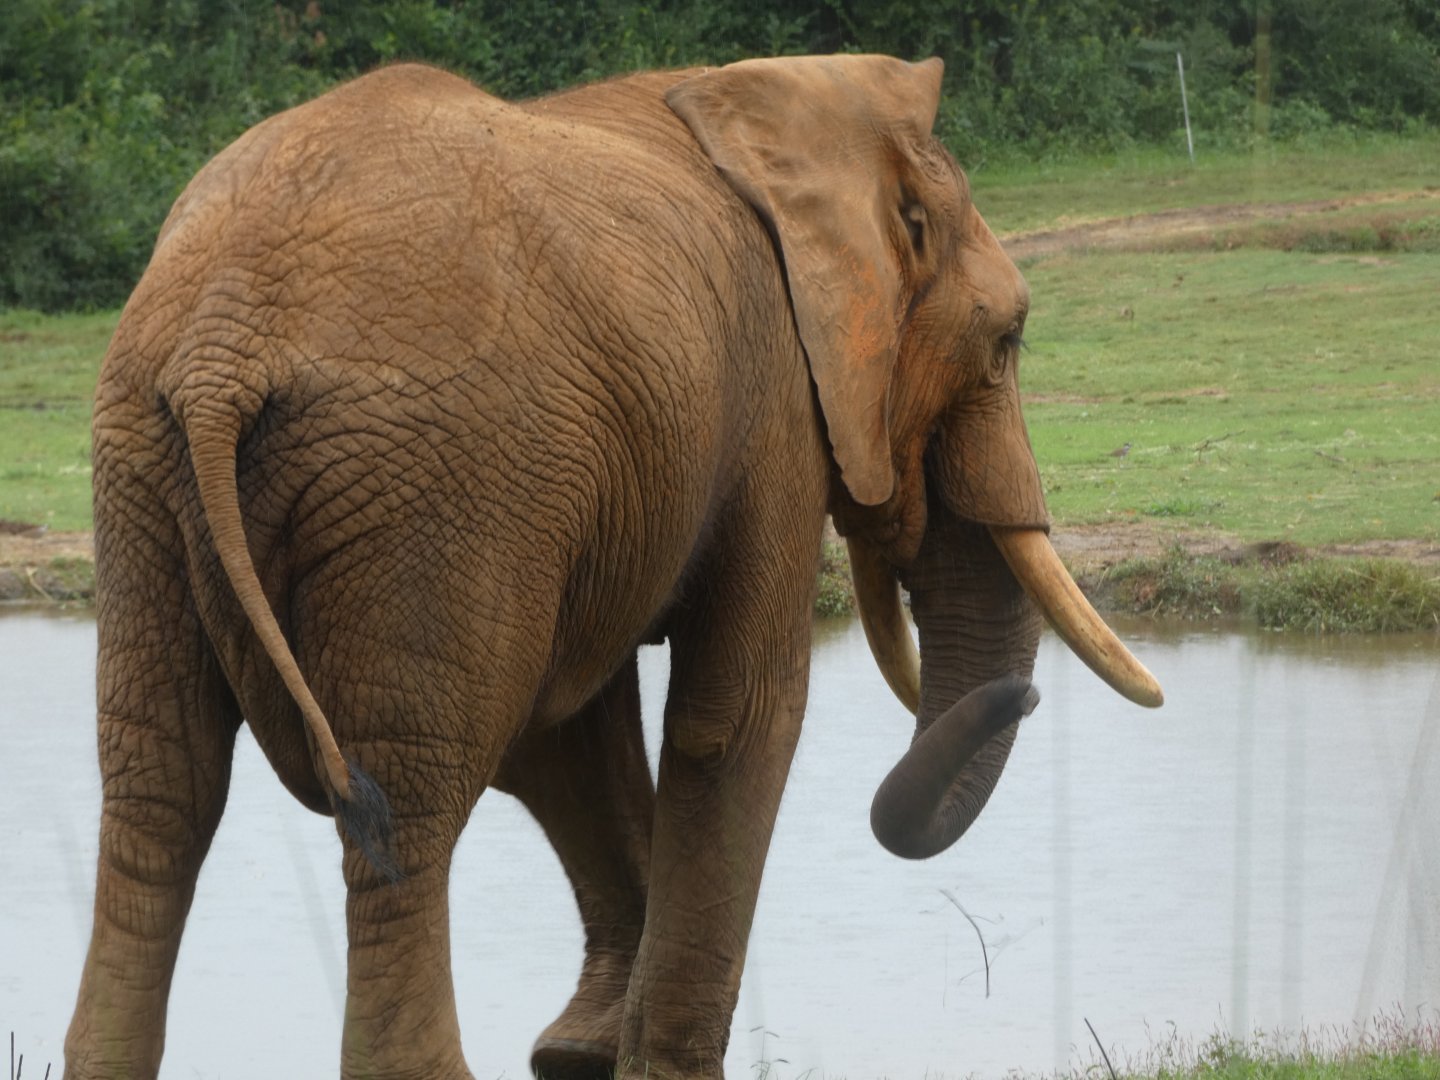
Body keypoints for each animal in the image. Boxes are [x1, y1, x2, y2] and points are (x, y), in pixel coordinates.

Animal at [65, 54, 1162, 1080]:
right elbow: (736, 718)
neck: (787, 104)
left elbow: (569, 742)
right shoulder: (772, 399)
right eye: (1008, 341)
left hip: (143, 469)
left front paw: (580, 1056)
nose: (1024, 697)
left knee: (160, 789)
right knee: (406, 804)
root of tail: (219, 351)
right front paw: (660, 1064)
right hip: (439, 474)